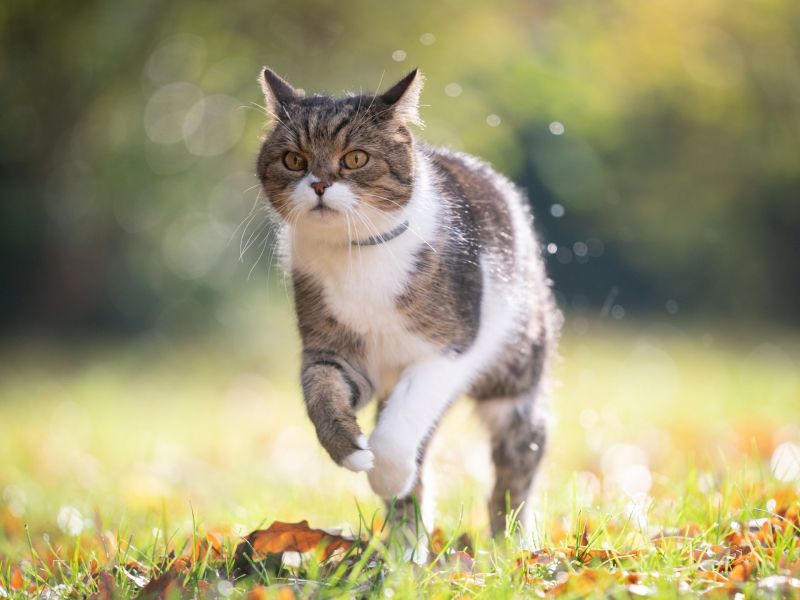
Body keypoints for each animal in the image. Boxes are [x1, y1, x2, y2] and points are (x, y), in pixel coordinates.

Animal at [260, 67, 560, 536]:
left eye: (355, 158)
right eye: (294, 160)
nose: (320, 184)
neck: (357, 255)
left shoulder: (449, 347)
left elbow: (400, 426)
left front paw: (387, 473)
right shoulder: (334, 352)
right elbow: (320, 392)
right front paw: (351, 450)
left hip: (516, 372)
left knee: (519, 460)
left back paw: (511, 539)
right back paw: (406, 548)